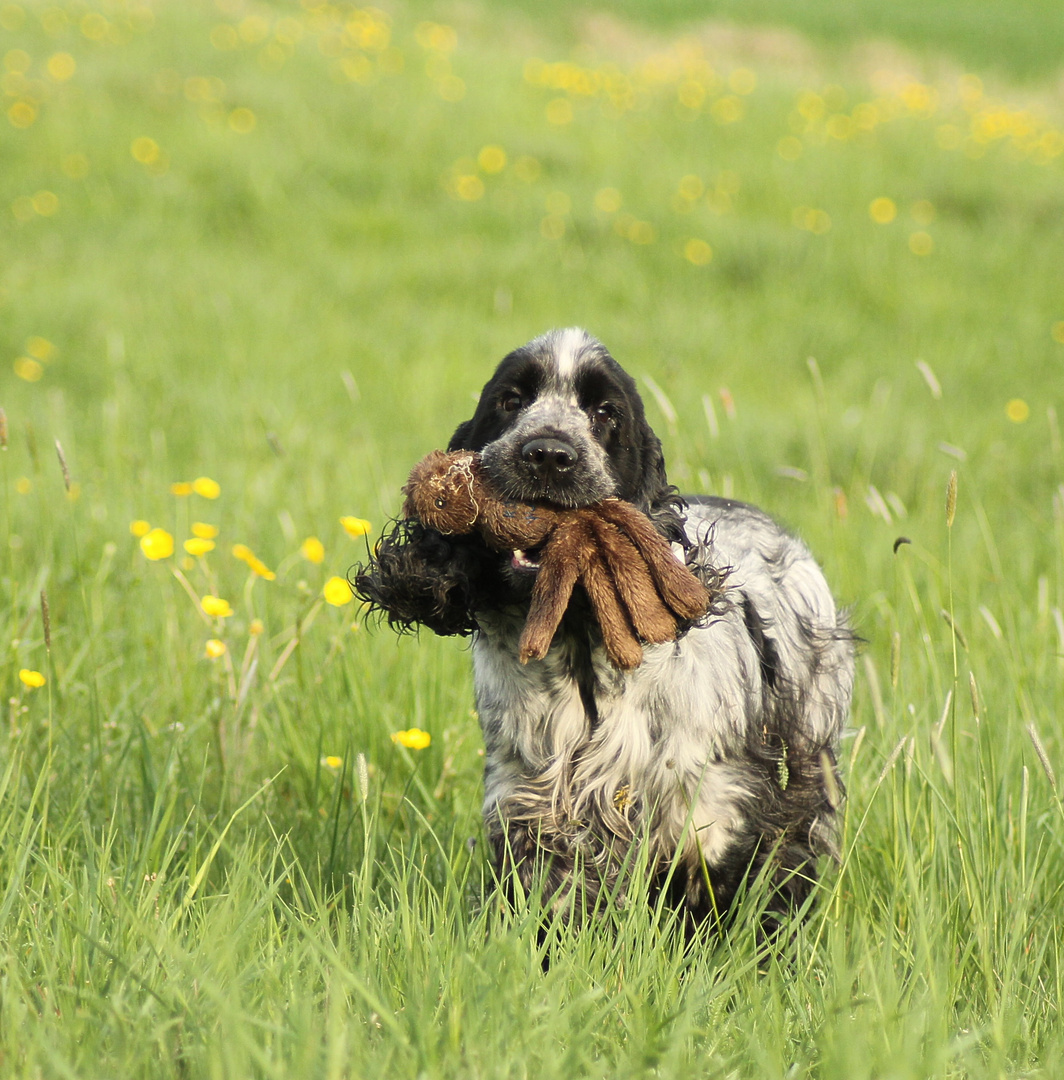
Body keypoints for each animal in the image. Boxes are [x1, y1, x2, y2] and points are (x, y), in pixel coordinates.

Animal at [356, 326, 855, 928]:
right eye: (510, 401)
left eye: (605, 413)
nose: (548, 453)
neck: (577, 646)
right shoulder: (527, 803)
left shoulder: (716, 810)